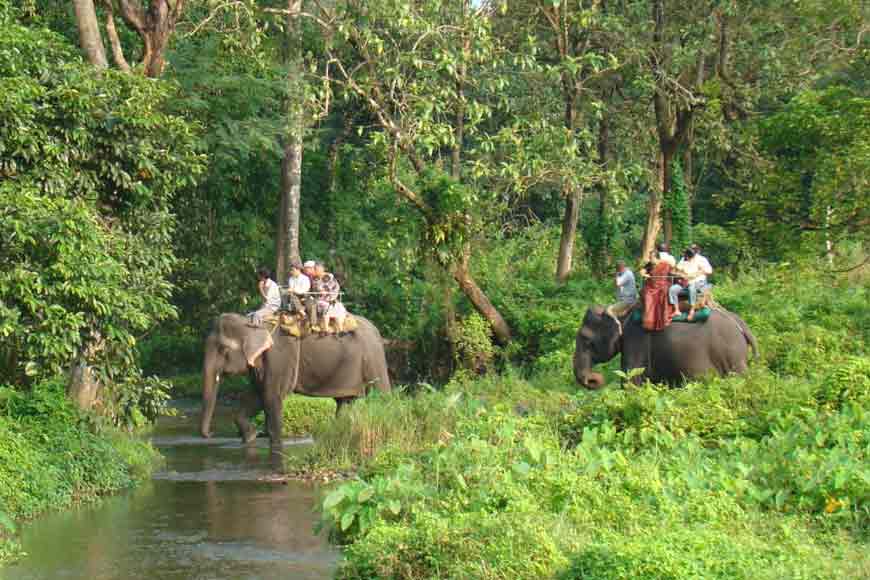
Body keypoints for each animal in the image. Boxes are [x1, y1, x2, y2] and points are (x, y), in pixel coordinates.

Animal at [201, 314, 392, 446]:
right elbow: (255, 395)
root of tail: (377, 331)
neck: (252, 323)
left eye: (223, 350)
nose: (211, 434)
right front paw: (250, 438)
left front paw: (275, 444)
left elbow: (271, 397)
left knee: (381, 396)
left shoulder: (279, 358)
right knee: (344, 404)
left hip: (374, 359)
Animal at [572, 304, 756, 390]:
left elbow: (631, 381)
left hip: (733, 357)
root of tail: (740, 325)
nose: (594, 379)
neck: (621, 314)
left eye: (586, 340)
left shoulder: (635, 341)